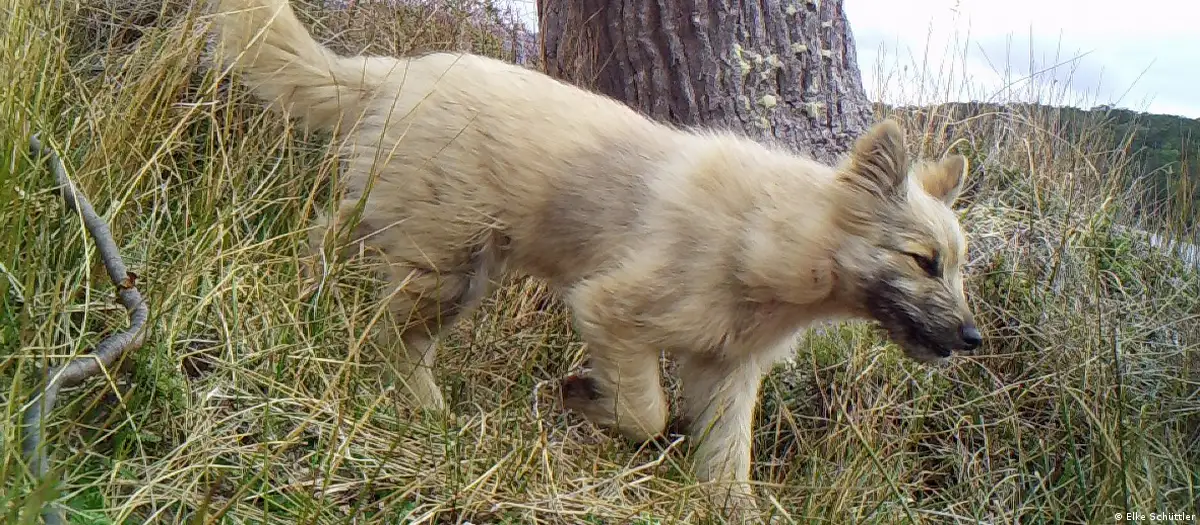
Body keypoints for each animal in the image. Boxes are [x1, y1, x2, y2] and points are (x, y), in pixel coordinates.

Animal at [213, 0, 984, 517]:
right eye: (923, 260)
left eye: (958, 264)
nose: (974, 338)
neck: (771, 235)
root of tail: (393, 72)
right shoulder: (613, 310)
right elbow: (647, 413)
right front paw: (586, 398)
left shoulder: (727, 373)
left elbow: (728, 467)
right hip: (449, 264)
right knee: (391, 340)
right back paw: (425, 414)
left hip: (406, 233)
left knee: (328, 251)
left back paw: (304, 308)